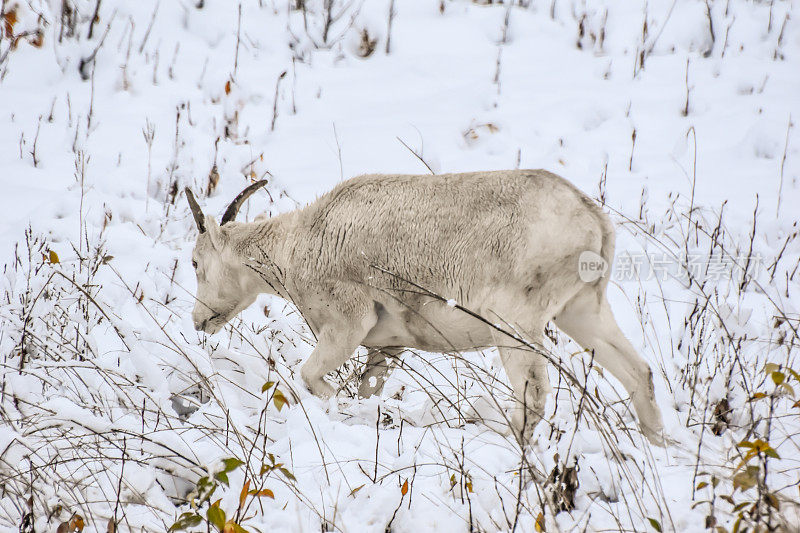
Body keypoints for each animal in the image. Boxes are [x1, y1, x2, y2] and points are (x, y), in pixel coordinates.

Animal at [184, 168, 664, 442]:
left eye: (194, 262)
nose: (199, 320)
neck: (300, 243)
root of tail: (592, 218)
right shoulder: (387, 348)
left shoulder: (345, 327)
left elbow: (313, 379)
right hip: (583, 312)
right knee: (638, 372)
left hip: (516, 327)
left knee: (534, 397)